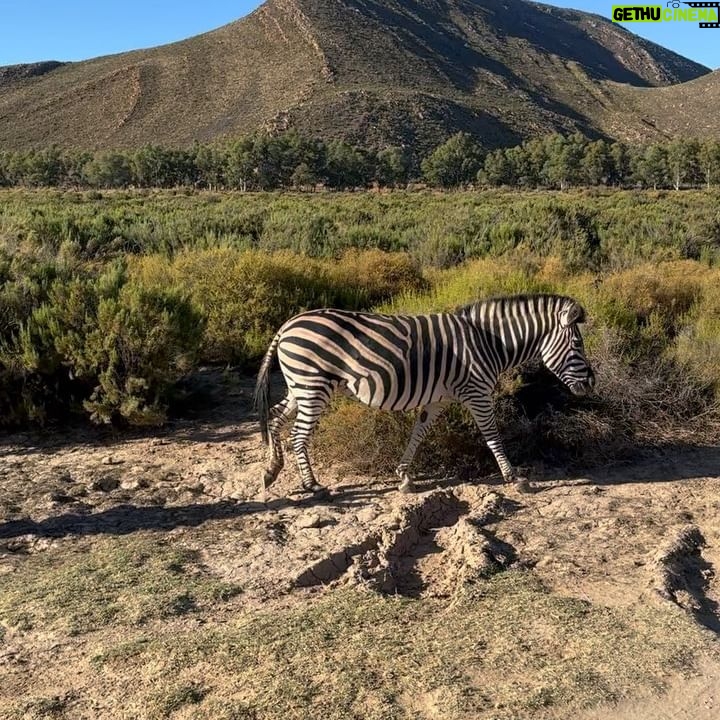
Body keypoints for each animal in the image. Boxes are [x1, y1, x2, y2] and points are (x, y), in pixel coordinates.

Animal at [255, 292, 596, 496]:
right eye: (578, 345)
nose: (592, 383)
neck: (488, 342)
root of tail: (287, 325)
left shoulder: (438, 399)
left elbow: (419, 433)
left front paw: (404, 476)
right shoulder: (477, 392)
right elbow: (492, 435)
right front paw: (513, 477)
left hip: (299, 385)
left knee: (274, 416)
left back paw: (271, 471)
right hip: (313, 385)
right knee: (298, 434)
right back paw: (312, 485)